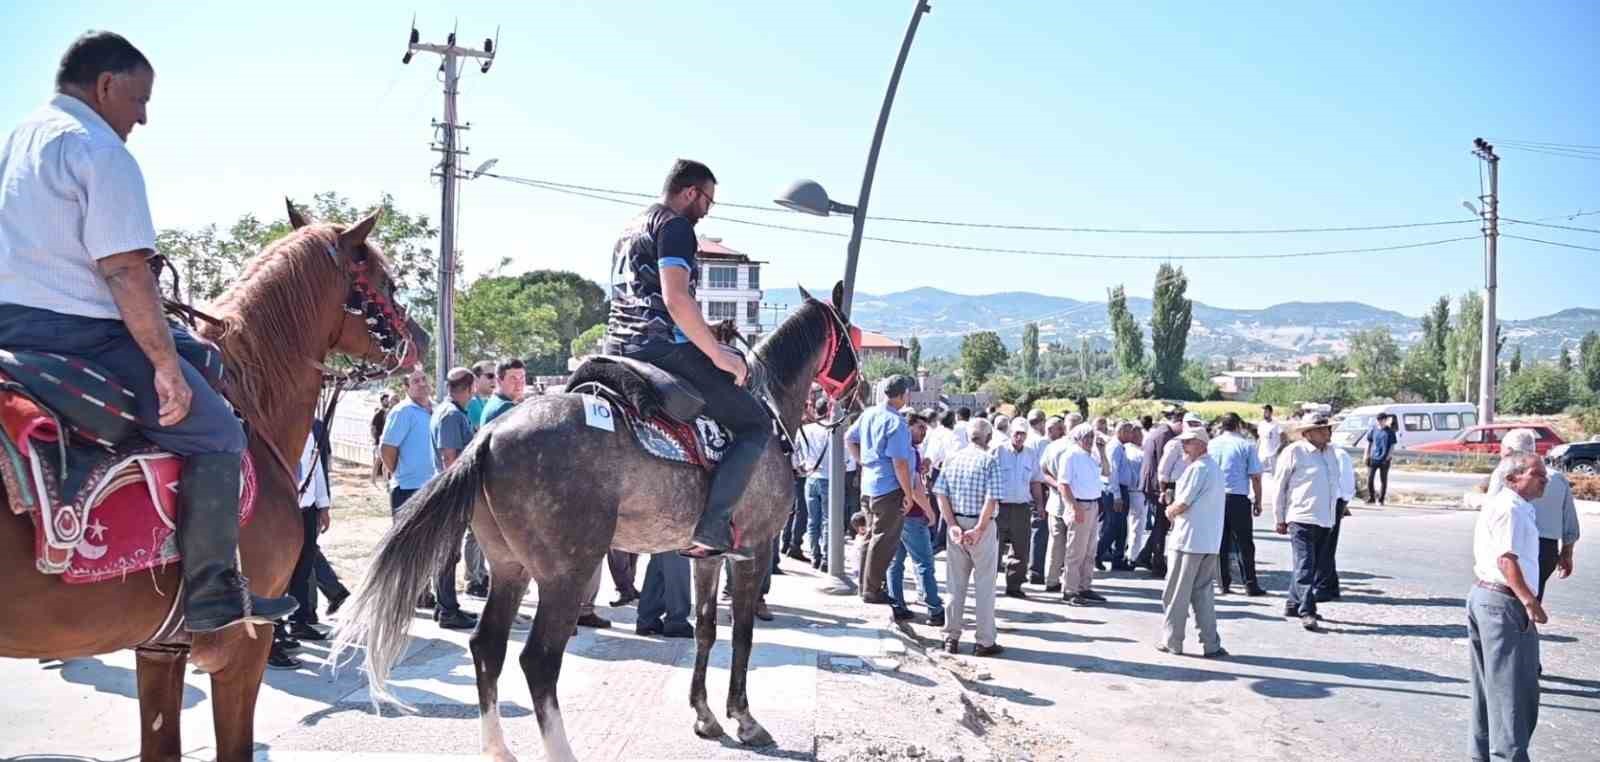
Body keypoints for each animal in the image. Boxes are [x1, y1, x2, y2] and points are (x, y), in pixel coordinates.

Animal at [331, 284, 870, 762]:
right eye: (854, 337)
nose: (862, 396)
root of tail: (488, 436)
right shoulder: (753, 551)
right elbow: (741, 635)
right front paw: (744, 718)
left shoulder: (708, 555)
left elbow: (705, 630)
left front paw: (704, 715)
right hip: (566, 574)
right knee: (538, 661)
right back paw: (559, 750)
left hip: (511, 568)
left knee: (488, 647)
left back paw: (498, 749)